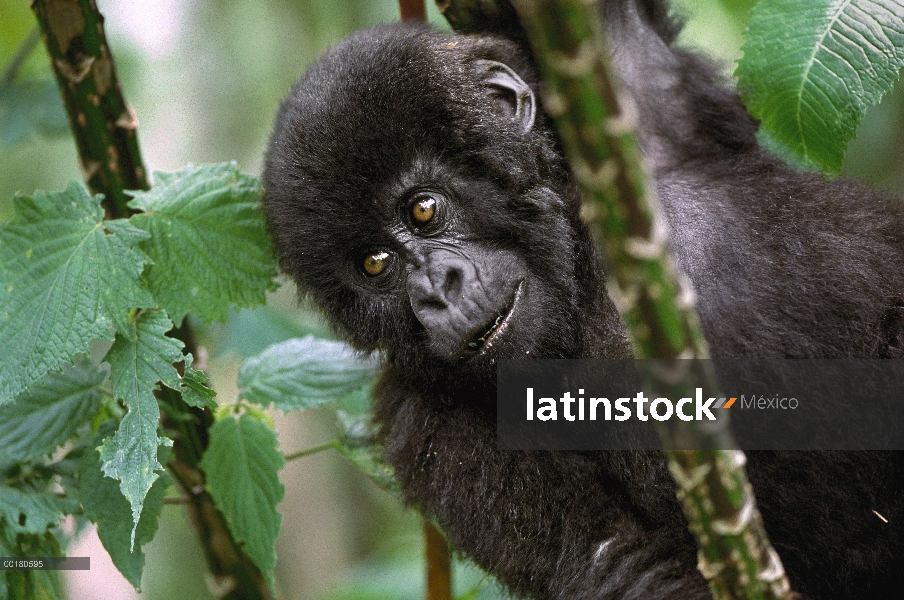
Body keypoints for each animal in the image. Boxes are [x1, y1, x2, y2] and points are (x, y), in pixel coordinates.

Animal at [262, 1, 904, 600]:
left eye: (423, 209)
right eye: (375, 265)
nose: (437, 292)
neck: (585, 282)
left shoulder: (640, 129)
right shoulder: (422, 424)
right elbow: (620, 563)